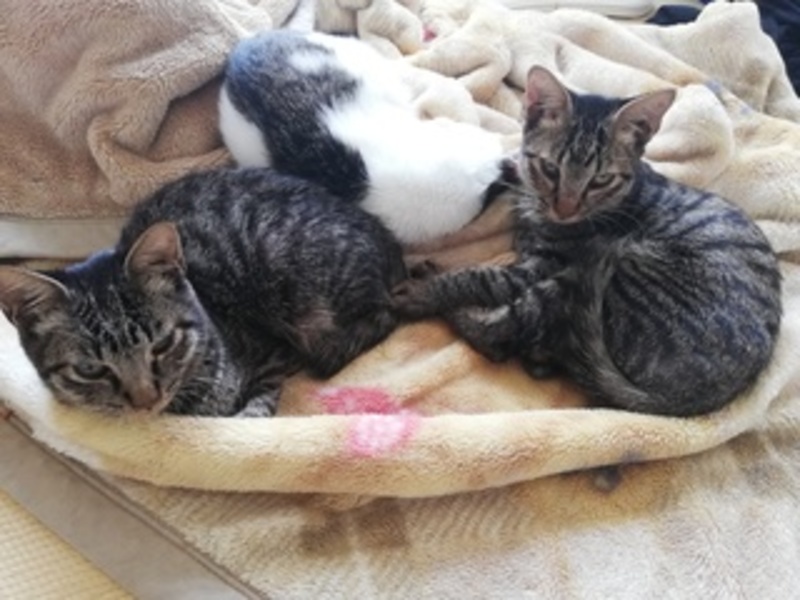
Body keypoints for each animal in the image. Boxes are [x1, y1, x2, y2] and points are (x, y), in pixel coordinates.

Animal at [0, 168, 406, 417]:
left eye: (163, 344)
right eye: (89, 369)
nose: (146, 401)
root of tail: (386, 239)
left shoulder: (271, 354)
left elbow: (257, 405)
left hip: (308, 305)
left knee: (382, 316)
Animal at [392, 66, 782, 417]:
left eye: (600, 180)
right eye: (550, 169)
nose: (565, 209)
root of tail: (690, 402)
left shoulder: (544, 266)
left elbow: (482, 278)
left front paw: (429, 289)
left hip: (598, 275)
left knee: (502, 334)